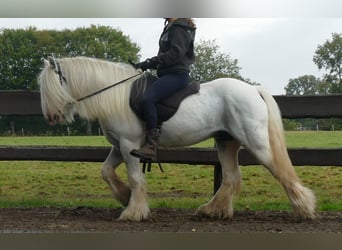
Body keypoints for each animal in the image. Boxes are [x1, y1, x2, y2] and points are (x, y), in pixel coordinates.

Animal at [37, 56, 316, 221]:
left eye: (52, 84)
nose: (51, 117)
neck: (115, 94)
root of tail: (252, 89)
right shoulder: (119, 146)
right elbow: (106, 172)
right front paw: (125, 196)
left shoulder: (129, 146)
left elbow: (135, 178)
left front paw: (133, 211)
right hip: (225, 141)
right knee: (231, 177)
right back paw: (212, 210)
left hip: (255, 142)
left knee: (280, 170)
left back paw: (304, 208)